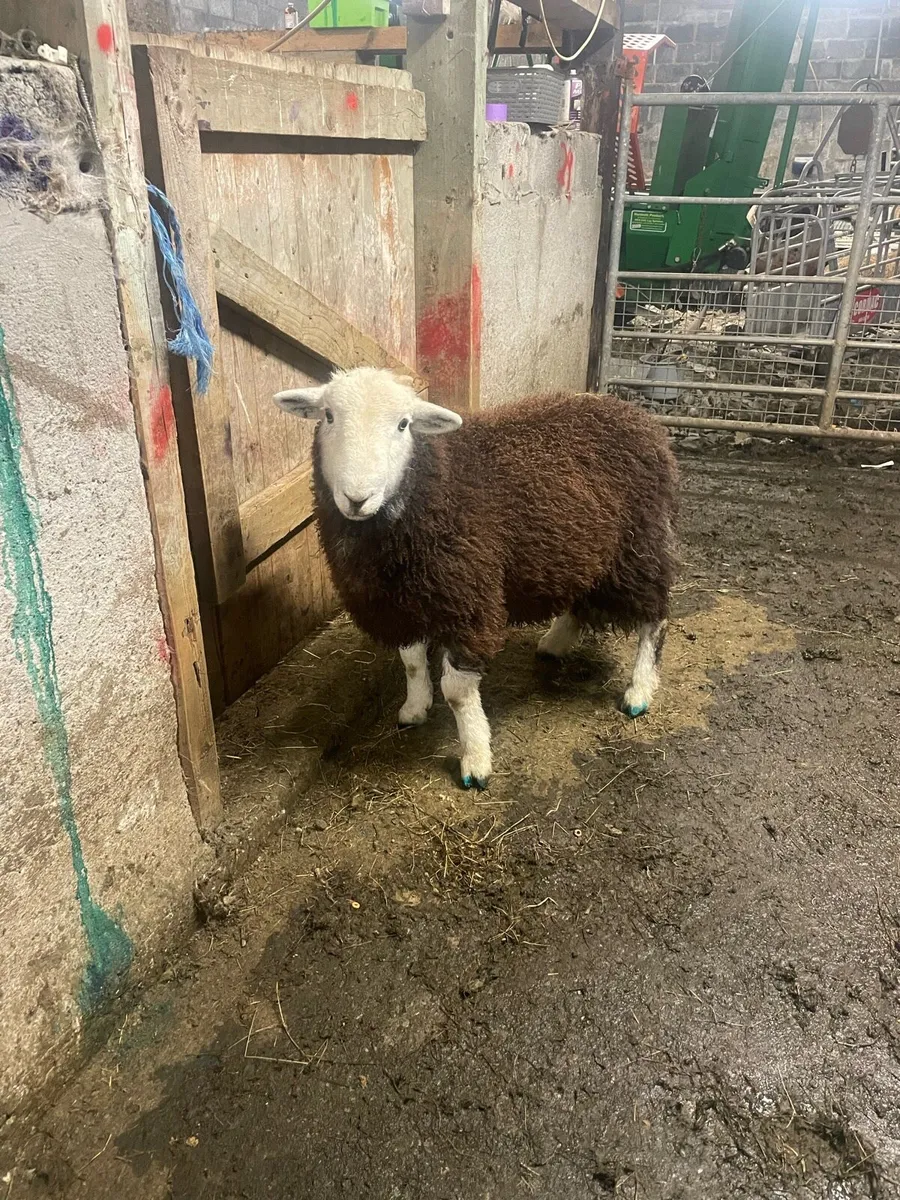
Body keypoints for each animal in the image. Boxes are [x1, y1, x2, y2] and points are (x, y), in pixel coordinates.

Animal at [274, 368, 679, 790]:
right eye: (328, 416)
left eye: (404, 424)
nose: (357, 498)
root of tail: (635, 415)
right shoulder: (404, 599)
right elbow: (412, 662)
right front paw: (415, 707)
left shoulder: (468, 599)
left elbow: (456, 692)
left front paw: (475, 759)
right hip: (582, 549)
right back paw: (556, 641)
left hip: (638, 544)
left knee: (656, 618)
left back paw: (639, 689)